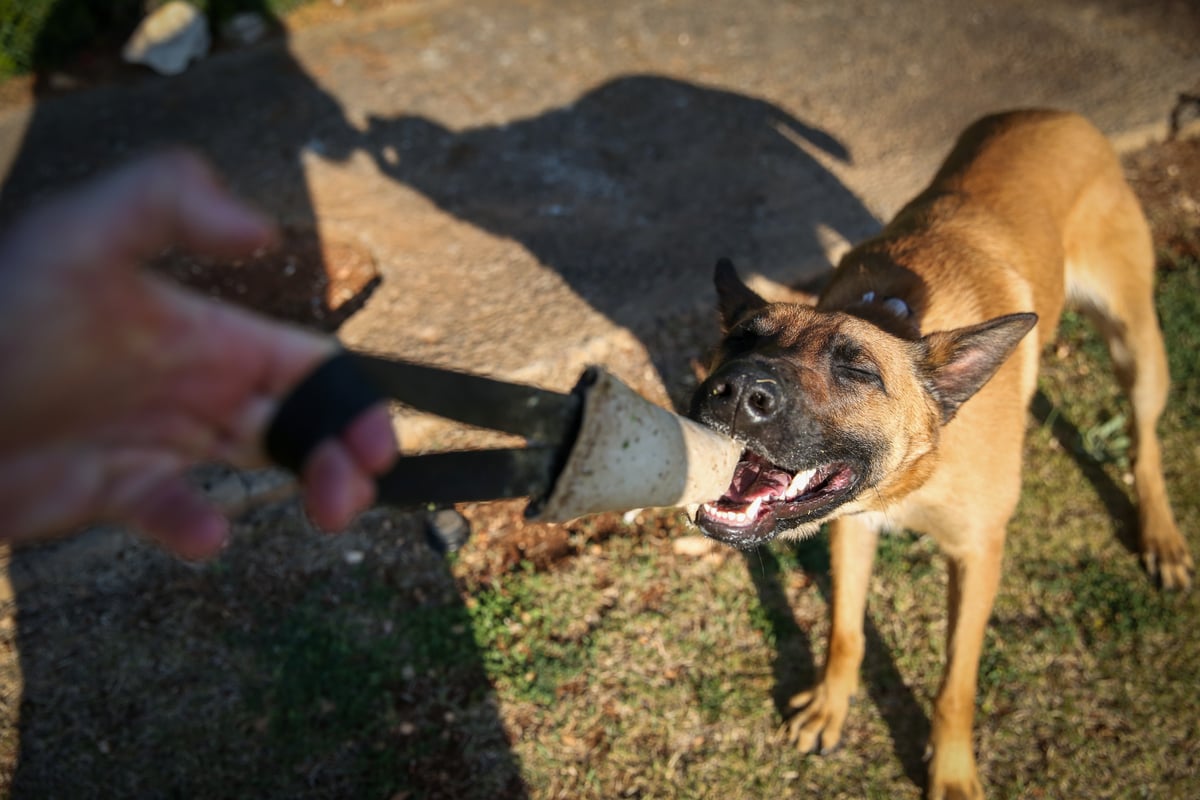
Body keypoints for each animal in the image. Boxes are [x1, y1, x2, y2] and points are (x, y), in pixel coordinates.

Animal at [686, 110, 1190, 800]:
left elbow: (957, 684)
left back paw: (1161, 535)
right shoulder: (854, 528)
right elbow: (846, 632)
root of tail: (1057, 115)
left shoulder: (978, 555)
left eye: (858, 369)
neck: (922, 464)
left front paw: (950, 772)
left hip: (1136, 348)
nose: (735, 393)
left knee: (1145, 443)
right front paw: (830, 706)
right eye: (739, 339)